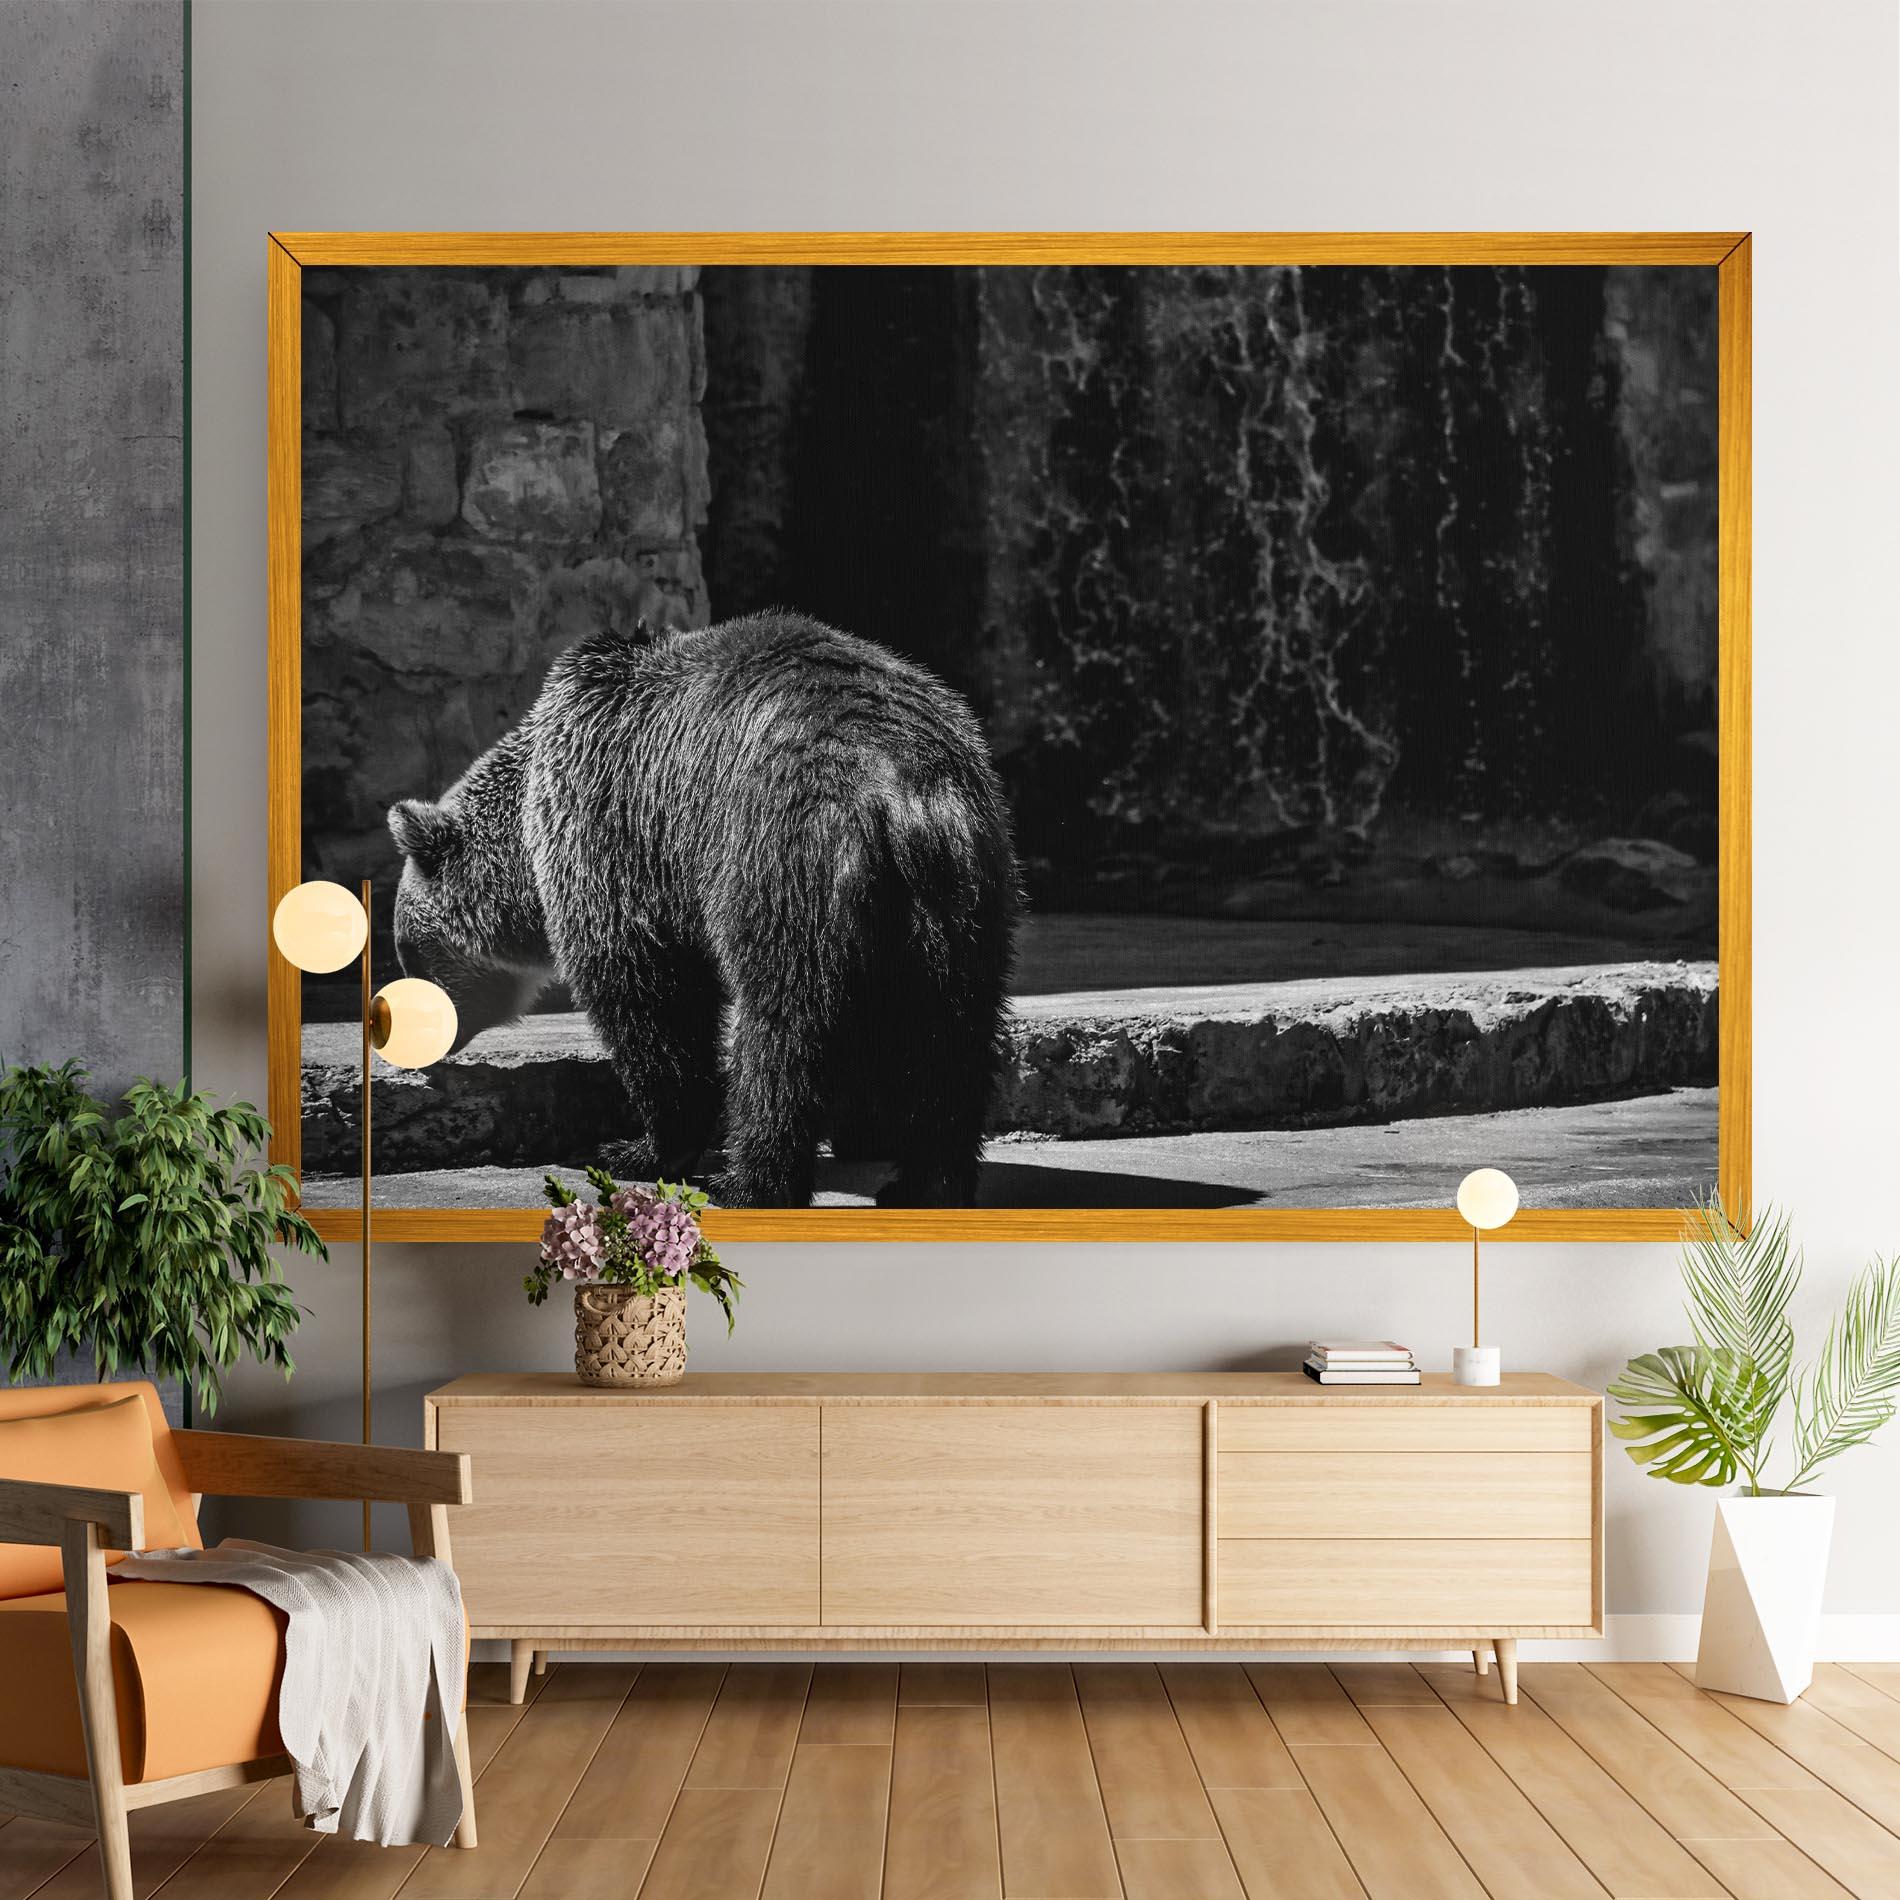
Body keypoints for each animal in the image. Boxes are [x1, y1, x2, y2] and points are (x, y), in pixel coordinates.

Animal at [386, 610, 1019, 1208]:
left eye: (408, 951)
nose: (409, 1041)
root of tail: (903, 793)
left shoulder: (620, 829)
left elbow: (649, 997)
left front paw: (634, 1149)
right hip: (965, 898)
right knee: (952, 1038)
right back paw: (925, 1184)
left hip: (782, 862)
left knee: (784, 1035)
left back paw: (748, 1184)